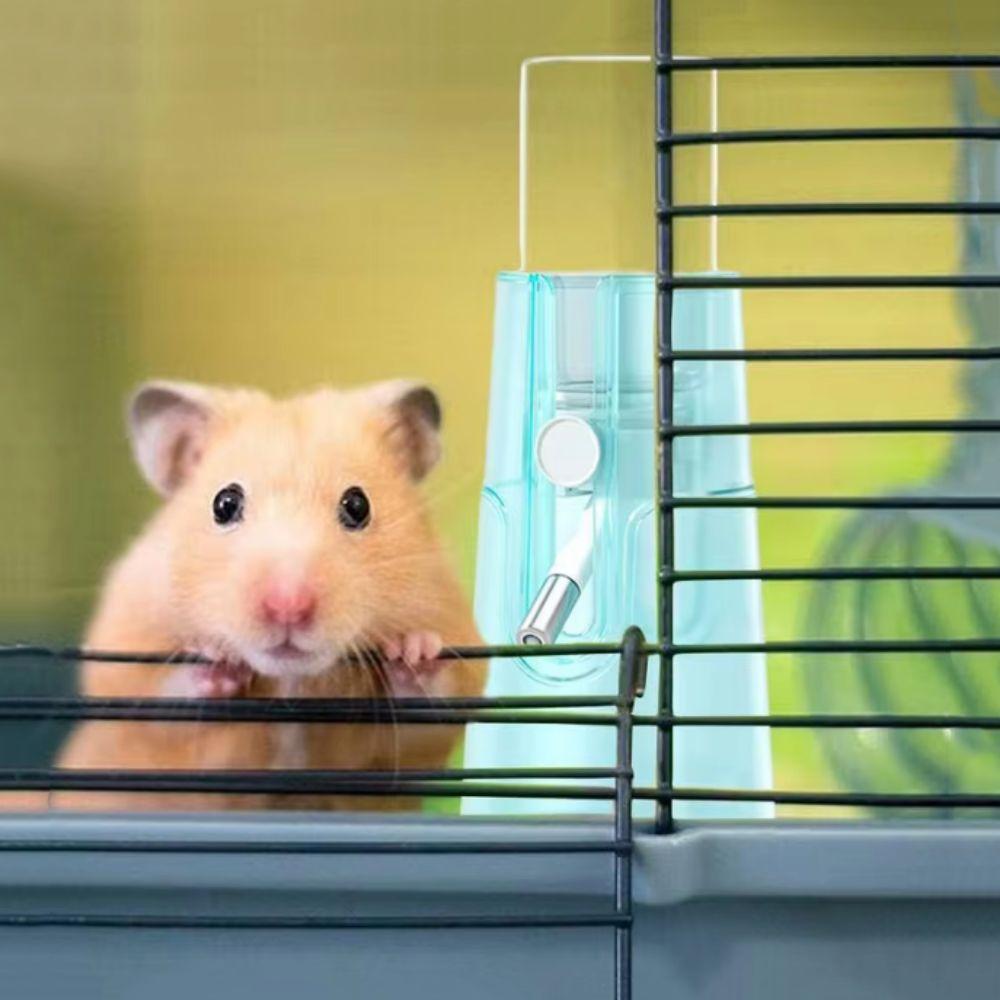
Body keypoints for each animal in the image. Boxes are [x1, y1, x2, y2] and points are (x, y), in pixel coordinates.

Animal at [55, 379, 486, 811]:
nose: (288, 608)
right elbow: (156, 693)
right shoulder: (124, 650)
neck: (290, 681)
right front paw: (218, 660)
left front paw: (413, 649)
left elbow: (434, 702)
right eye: (224, 503)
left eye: (357, 505)